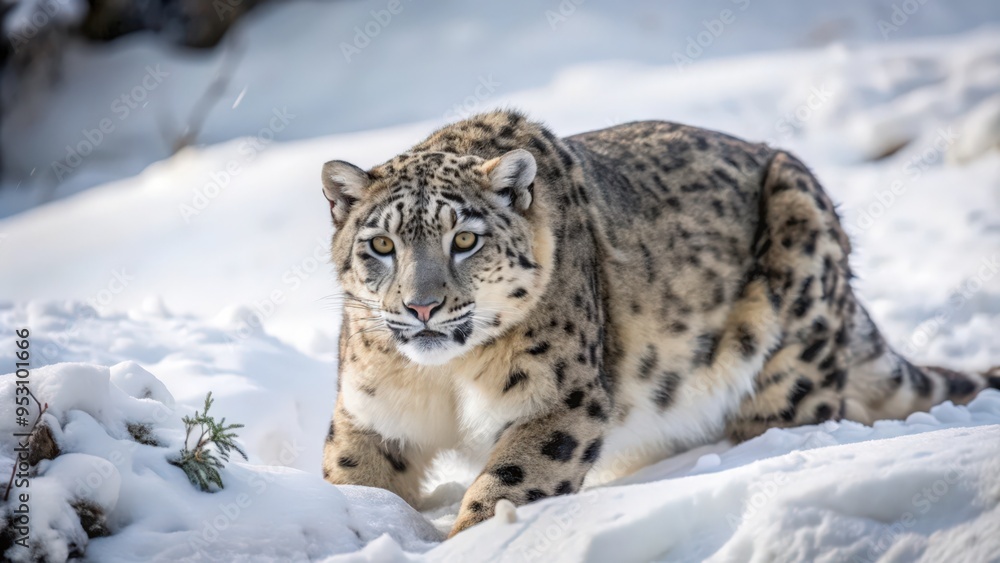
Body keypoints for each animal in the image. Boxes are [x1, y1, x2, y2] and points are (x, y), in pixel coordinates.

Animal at [319, 109, 999, 537]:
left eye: (464, 239)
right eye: (381, 244)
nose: (421, 306)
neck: (447, 380)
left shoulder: (559, 401)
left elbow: (509, 483)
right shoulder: (370, 411)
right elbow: (353, 480)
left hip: (792, 341)